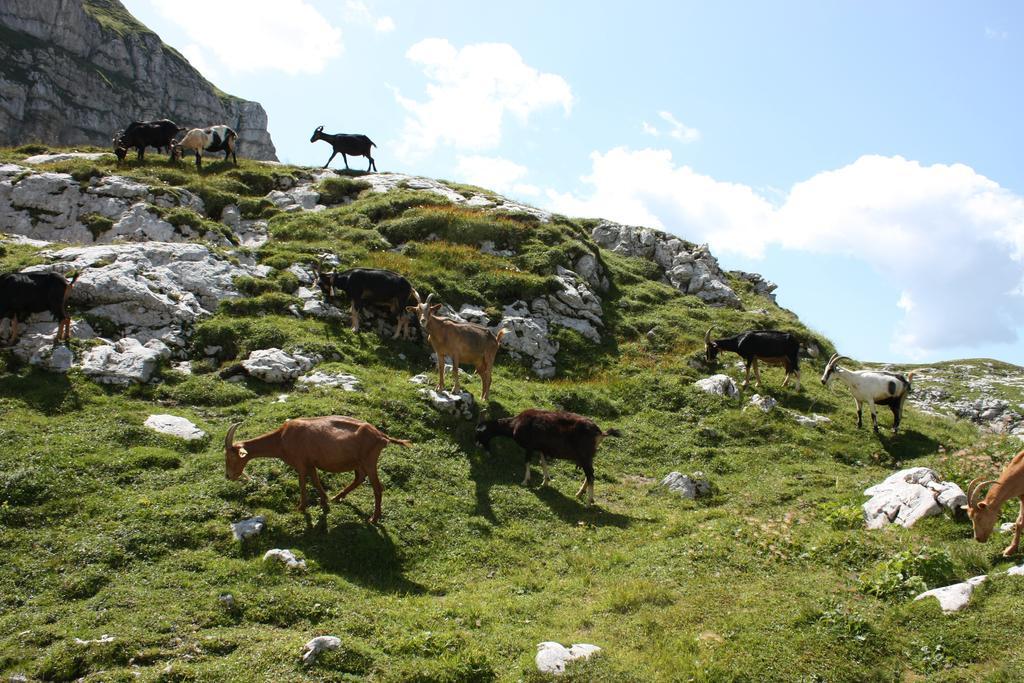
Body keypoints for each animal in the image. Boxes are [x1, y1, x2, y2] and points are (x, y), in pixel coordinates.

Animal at [226, 417, 409, 524]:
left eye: (231, 456)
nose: (229, 476)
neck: (281, 438)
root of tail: (381, 436)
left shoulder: (300, 463)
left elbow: (302, 483)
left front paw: (301, 507)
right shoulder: (311, 464)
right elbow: (315, 480)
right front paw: (324, 501)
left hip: (369, 461)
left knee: (377, 487)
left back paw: (374, 518)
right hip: (359, 462)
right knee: (359, 478)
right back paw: (337, 497)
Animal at [473, 409, 622, 505]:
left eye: (479, 433)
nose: (477, 445)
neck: (514, 424)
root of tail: (600, 433)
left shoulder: (529, 446)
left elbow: (527, 462)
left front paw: (525, 481)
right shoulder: (541, 449)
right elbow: (543, 462)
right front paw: (545, 481)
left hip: (584, 456)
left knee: (590, 476)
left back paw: (588, 502)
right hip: (587, 457)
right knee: (590, 474)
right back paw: (579, 494)